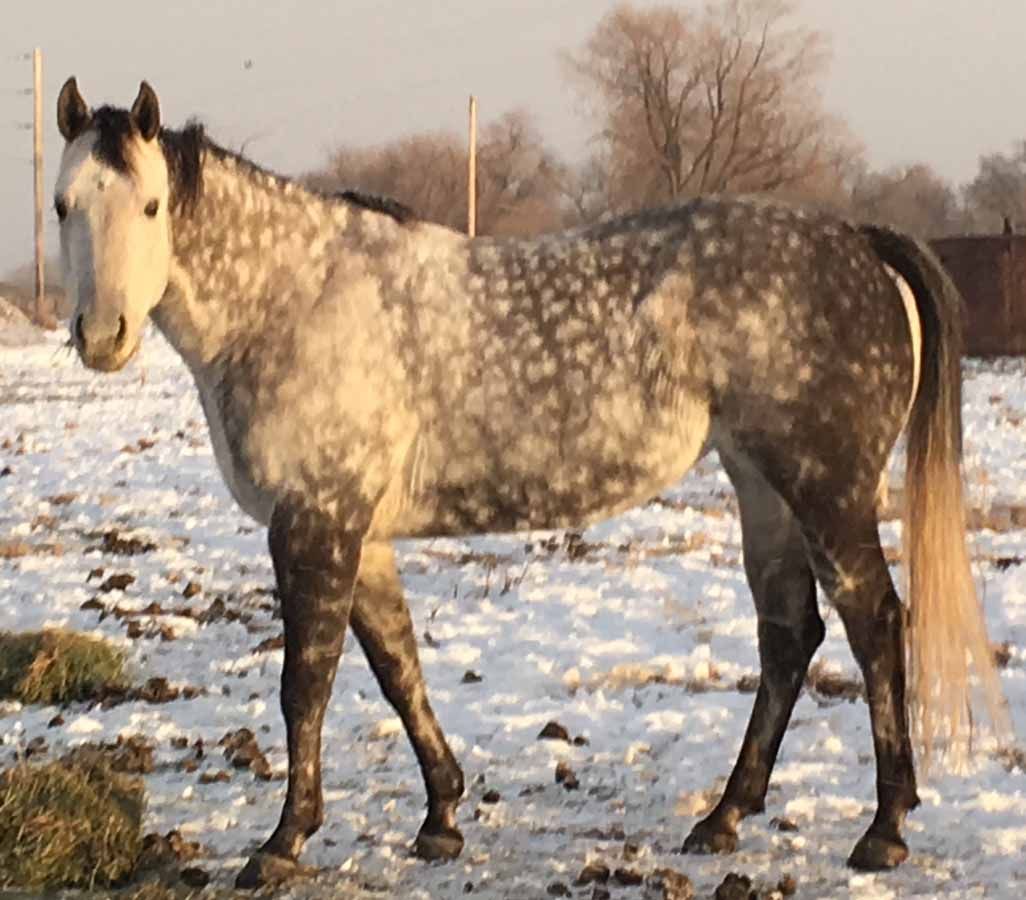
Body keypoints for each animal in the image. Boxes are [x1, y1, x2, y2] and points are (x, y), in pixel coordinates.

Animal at [54, 78, 1005, 889]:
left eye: (150, 206)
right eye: (65, 206)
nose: (101, 336)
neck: (295, 300)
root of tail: (859, 243)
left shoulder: (315, 524)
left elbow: (306, 685)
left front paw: (283, 842)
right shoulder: (363, 535)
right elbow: (398, 666)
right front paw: (441, 816)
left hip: (825, 492)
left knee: (874, 625)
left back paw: (883, 830)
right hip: (761, 489)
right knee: (789, 637)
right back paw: (724, 818)